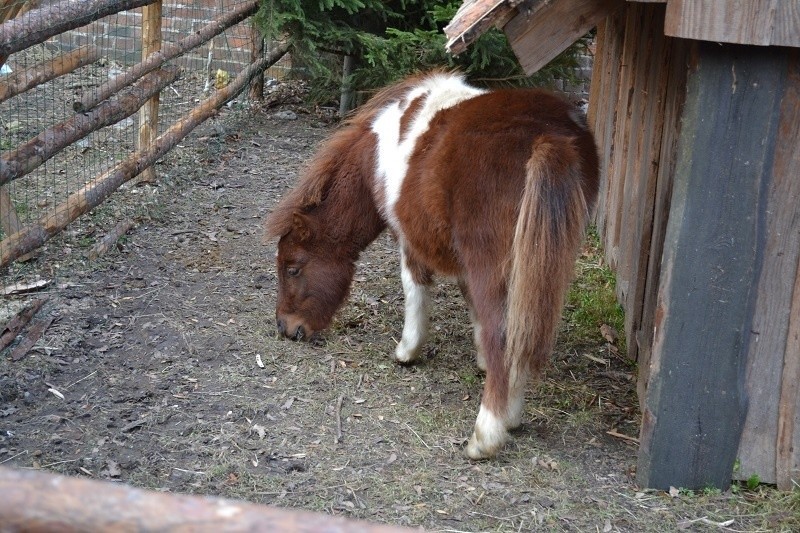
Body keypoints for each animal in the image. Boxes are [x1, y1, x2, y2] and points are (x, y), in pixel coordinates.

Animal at [266, 70, 596, 460]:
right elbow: (473, 307)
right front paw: (482, 362)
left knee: (505, 334)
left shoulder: (410, 240)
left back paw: (488, 434)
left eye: (293, 268)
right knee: (520, 329)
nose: (287, 328)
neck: (376, 155)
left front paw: (408, 351)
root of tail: (547, 137)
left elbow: (416, 290)